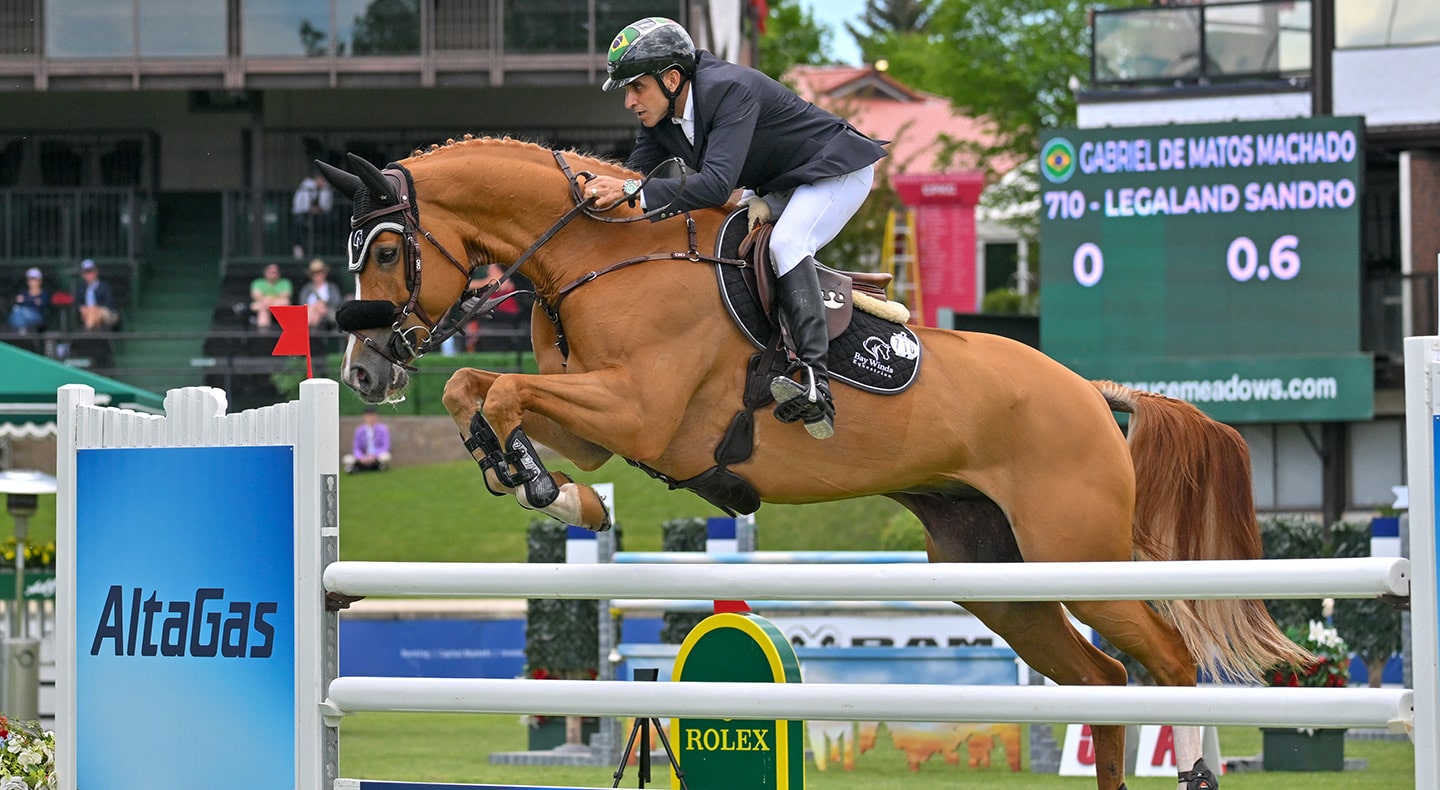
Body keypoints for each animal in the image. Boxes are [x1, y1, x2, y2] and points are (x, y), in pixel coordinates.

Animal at [318, 135, 1304, 790]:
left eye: (390, 249)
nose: (365, 373)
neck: (604, 252)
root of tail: (1095, 395)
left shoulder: (639, 412)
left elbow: (500, 396)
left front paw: (546, 492)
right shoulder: (598, 422)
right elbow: (476, 391)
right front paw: (557, 493)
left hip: (1078, 558)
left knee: (1170, 661)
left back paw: (1199, 769)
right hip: (1000, 579)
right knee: (1101, 685)